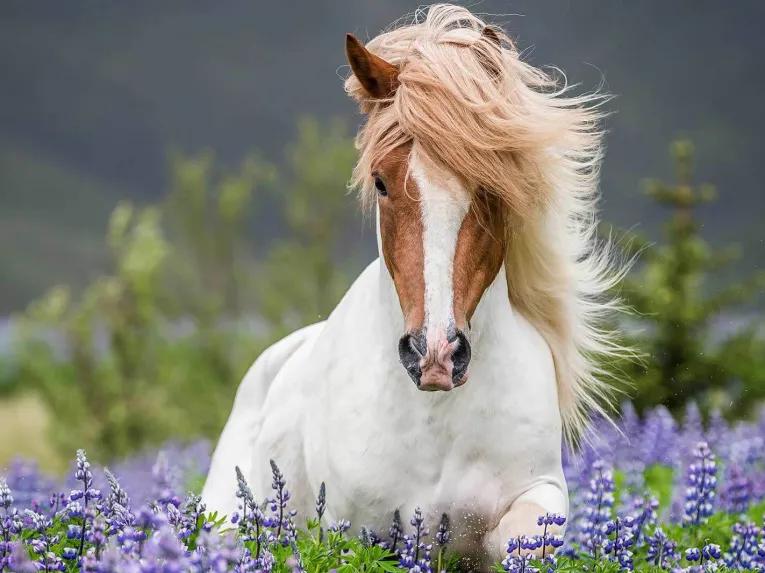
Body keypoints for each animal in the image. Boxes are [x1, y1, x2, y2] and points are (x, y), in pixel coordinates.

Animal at [202, 4, 623, 566]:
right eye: (381, 181)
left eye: (493, 186)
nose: (436, 354)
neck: (435, 416)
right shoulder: (356, 531)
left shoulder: (535, 494)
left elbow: (526, 538)